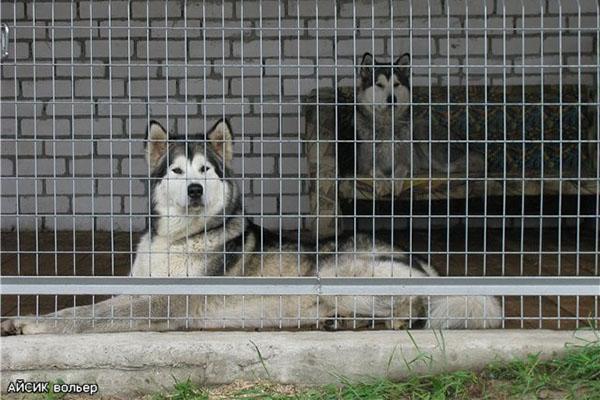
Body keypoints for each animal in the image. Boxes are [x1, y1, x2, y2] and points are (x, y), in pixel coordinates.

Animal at [0, 119, 502, 334]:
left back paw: (365, 320)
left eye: (206, 169)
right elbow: (90, 305)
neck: (180, 240)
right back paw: (337, 320)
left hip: (333, 272)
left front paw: (31, 324)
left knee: (412, 311)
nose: (195, 190)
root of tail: (425, 264)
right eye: (177, 171)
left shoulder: (164, 302)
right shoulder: (137, 291)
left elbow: (85, 315)